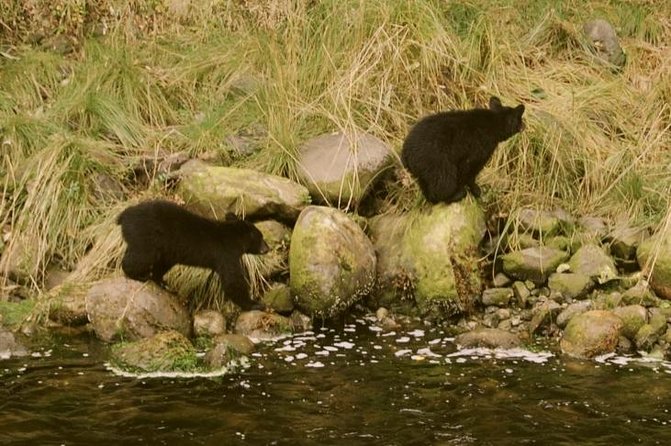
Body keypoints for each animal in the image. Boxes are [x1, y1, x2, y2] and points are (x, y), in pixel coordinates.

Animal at [117, 199, 270, 311]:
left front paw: (162, 281)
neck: (233, 238)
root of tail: (124, 216)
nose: (268, 248)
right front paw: (255, 304)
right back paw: (138, 275)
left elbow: (164, 264)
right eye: (261, 237)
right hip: (146, 236)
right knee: (141, 256)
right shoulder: (226, 254)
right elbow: (233, 280)